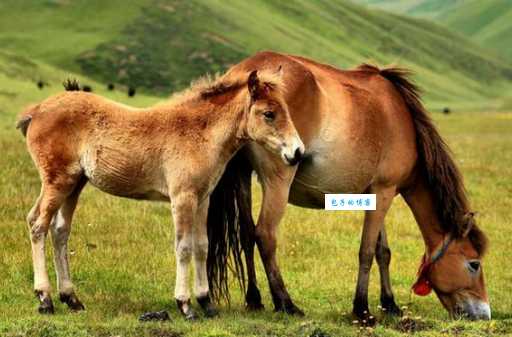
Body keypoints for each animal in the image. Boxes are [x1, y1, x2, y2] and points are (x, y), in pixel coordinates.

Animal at [206, 50, 490, 320]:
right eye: (474, 264)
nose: (484, 313)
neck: (403, 120)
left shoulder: (376, 193)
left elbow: (383, 251)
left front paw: (390, 304)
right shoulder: (384, 191)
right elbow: (367, 251)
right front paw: (362, 309)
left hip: (243, 175)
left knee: (246, 235)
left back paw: (254, 299)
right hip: (278, 181)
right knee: (264, 235)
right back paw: (285, 303)